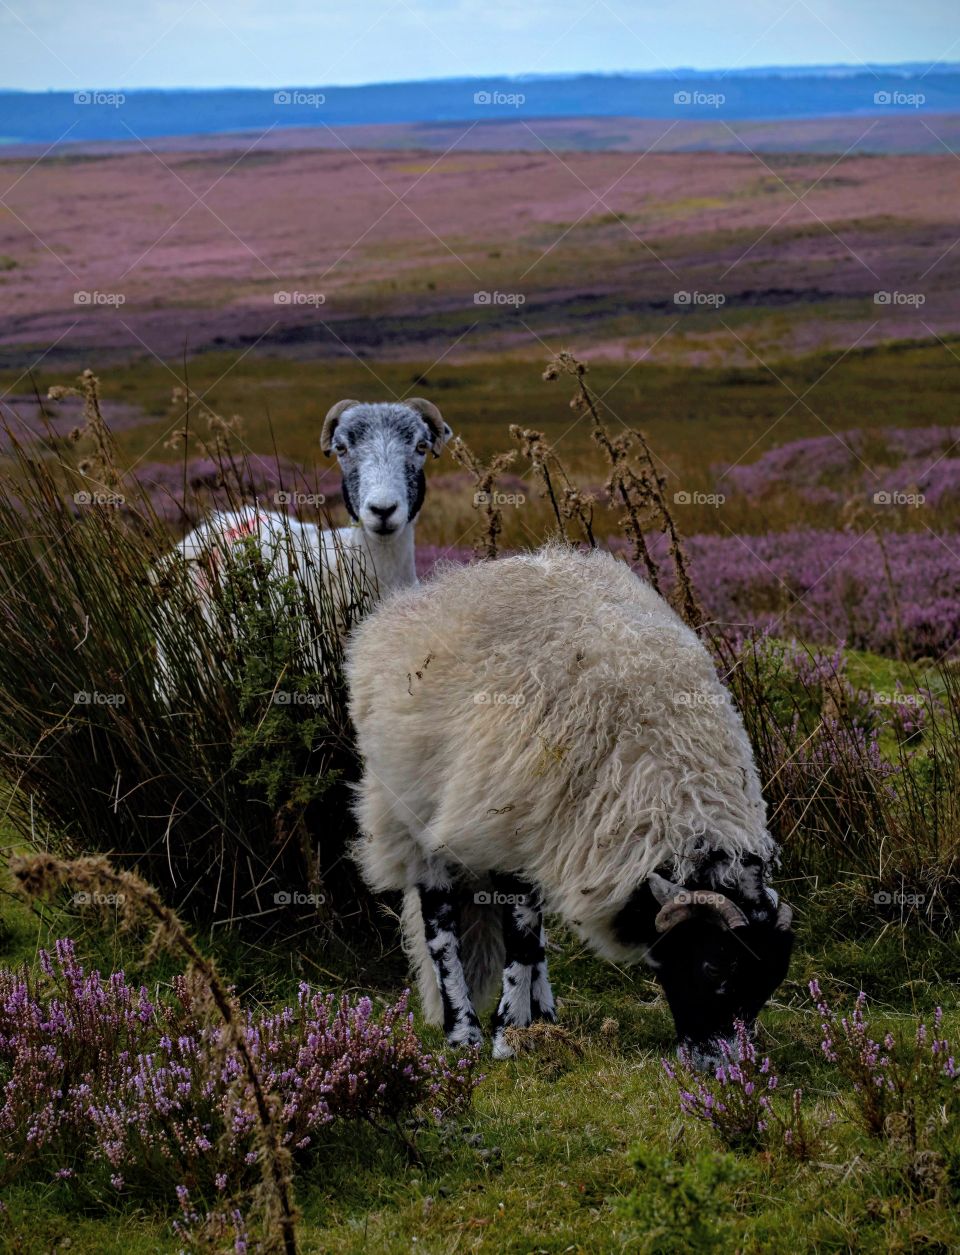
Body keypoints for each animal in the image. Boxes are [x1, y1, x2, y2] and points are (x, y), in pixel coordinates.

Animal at [346, 544, 794, 1068]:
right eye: (713, 966)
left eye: (767, 985)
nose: (721, 1069)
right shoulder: (509, 827)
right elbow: (518, 939)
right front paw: (507, 1037)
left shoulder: (544, 830)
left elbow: (530, 936)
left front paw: (529, 1026)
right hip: (413, 814)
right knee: (441, 929)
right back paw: (465, 1032)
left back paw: (544, 1013)